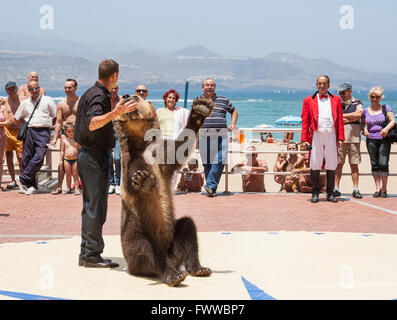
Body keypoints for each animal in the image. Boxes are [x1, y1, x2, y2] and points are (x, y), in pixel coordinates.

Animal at [114, 95, 213, 288]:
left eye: (136, 96)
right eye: (121, 99)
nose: (127, 96)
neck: (141, 141)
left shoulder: (162, 157)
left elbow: (180, 148)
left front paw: (201, 108)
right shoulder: (131, 160)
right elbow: (133, 177)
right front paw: (142, 179)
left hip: (173, 237)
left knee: (188, 228)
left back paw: (198, 268)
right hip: (134, 236)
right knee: (148, 251)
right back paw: (174, 275)